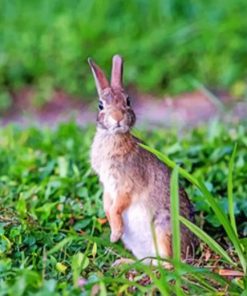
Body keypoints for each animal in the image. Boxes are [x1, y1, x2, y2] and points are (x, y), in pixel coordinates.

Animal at [88, 54, 198, 264]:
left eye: (128, 101)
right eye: (100, 105)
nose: (117, 118)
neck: (114, 137)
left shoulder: (128, 184)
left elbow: (118, 206)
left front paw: (114, 234)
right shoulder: (107, 185)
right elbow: (107, 204)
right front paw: (113, 231)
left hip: (163, 227)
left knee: (167, 265)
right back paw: (124, 263)